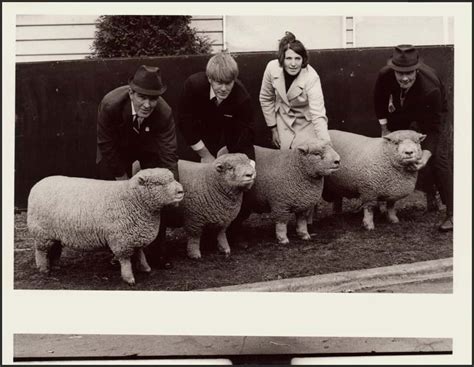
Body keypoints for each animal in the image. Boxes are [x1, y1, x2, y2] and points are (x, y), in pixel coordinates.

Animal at [26, 168, 184, 286]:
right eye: (158, 183)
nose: (181, 191)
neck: (132, 199)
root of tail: (39, 183)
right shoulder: (121, 239)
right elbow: (125, 260)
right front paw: (129, 278)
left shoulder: (136, 234)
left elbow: (140, 253)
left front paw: (145, 268)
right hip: (41, 232)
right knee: (41, 251)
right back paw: (43, 269)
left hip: (54, 232)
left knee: (55, 248)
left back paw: (55, 264)